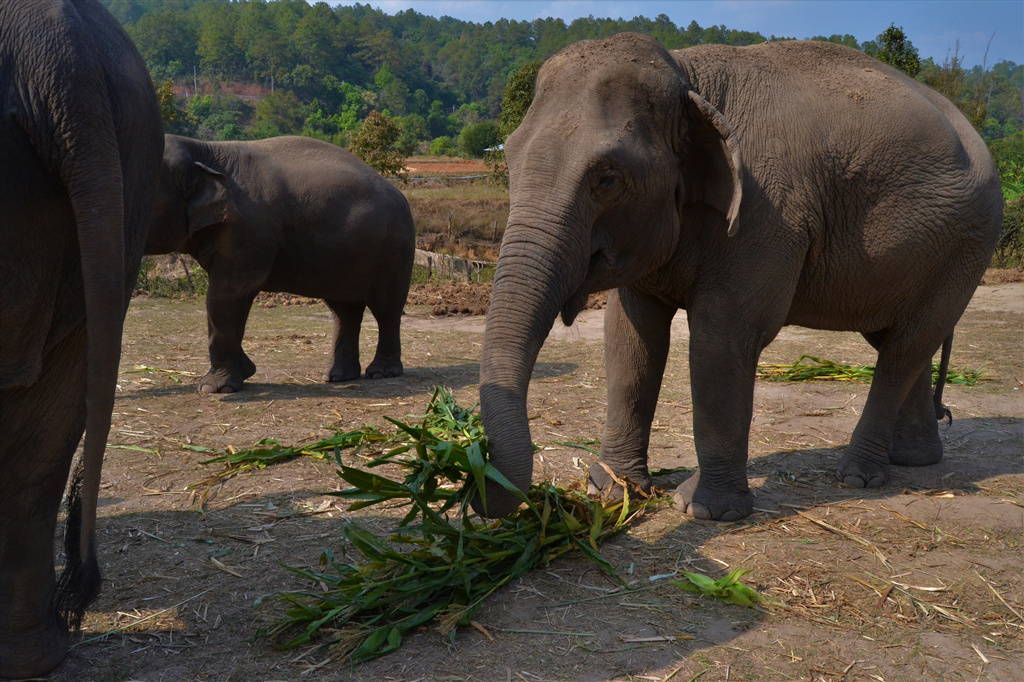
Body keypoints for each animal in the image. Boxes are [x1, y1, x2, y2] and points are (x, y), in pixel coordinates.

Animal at [145, 134, 415, 393]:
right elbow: (224, 299)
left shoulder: (248, 229)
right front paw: (245, 371)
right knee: (345, 311)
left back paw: (380, 373)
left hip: (393, 251)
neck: (205, 150)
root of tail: (400, 194)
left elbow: (226, 294)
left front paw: (214, 389)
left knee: (386, 309)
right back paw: (336, 377)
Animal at [477, 33, 999, 516]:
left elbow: (721, 338)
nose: (478, 466)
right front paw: (613, 492)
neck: (688, 75)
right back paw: (914, 460)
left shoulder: (768, 218)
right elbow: (630, 339)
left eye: (607, 178)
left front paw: (705, 511)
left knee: (906, 346)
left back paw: (858, 476)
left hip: (968, 247)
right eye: (510, 160)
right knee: (901, 341)